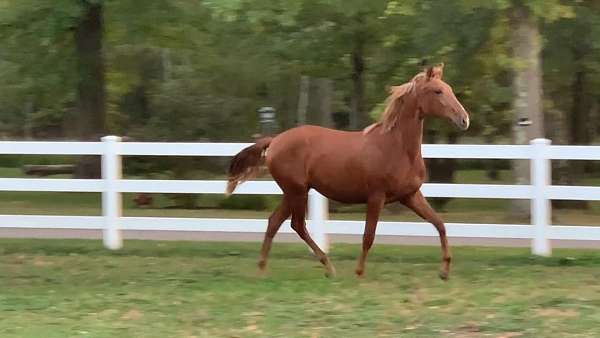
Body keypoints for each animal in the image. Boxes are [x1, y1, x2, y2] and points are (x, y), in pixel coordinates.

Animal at [225, 63, 468, 280]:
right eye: (437, 91)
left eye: (449, 89)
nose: (464, 119)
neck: (396, 147)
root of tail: (275, 140)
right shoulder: (376, 196)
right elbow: (368, 236)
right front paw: (359, 273)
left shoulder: (410, 195)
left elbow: (440, 224)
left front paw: (445, 271)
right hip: (296, 191)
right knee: (297, 225)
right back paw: (327, 267)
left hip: (293, 192)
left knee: (275, 222)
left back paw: (264, 269)